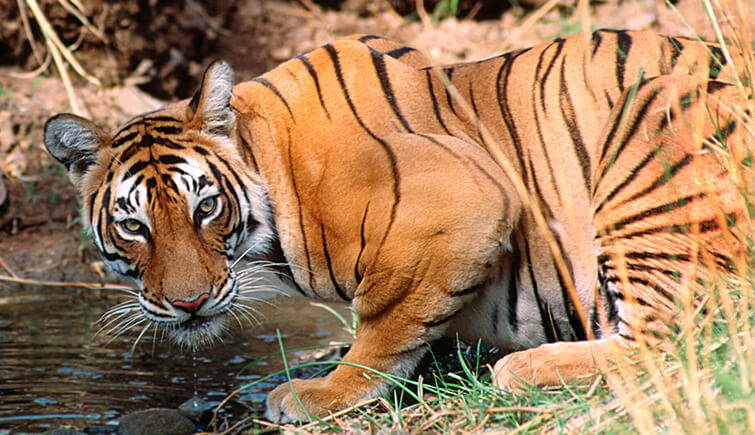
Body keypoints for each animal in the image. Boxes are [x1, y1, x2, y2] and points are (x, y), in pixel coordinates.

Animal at [44, 29, 752, 424]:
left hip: (652, 118)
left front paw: (325, 393)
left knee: (677, 338)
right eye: (134, 226)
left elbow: (383, 321)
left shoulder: (466, 198)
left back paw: (520, 368)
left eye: (205, 208)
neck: (272, 161)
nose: (189, 303)